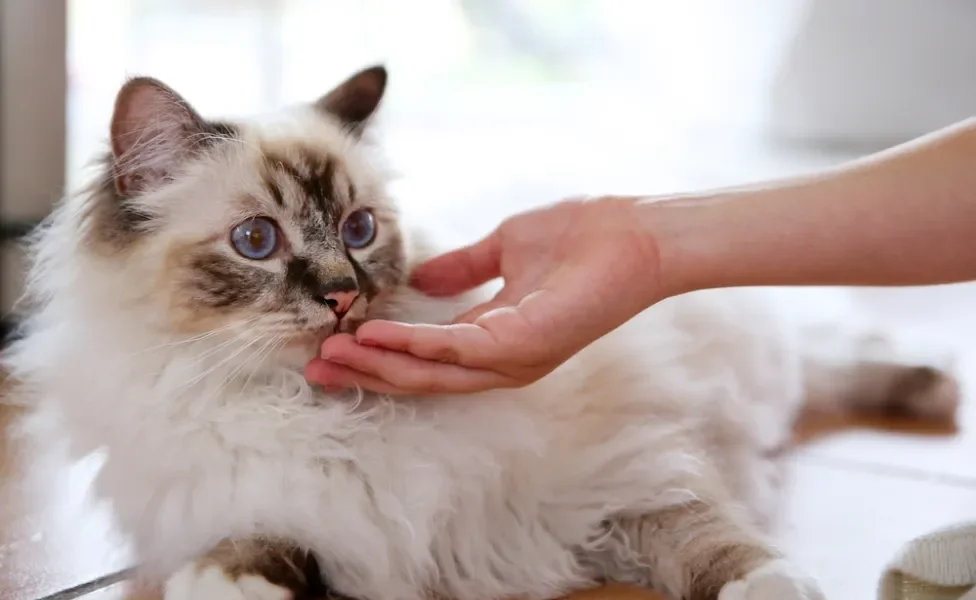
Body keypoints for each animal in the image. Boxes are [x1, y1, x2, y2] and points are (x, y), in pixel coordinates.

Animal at [1, 65, 960, 600]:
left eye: (358, 230)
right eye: (257, 243)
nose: (344, 298)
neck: (329, 412)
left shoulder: (634, 474)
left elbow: (722, 547)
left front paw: (781, 588)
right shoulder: (276, 504)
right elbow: (253, 544)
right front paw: (229, 583)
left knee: (832, 356)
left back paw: (935, 384)